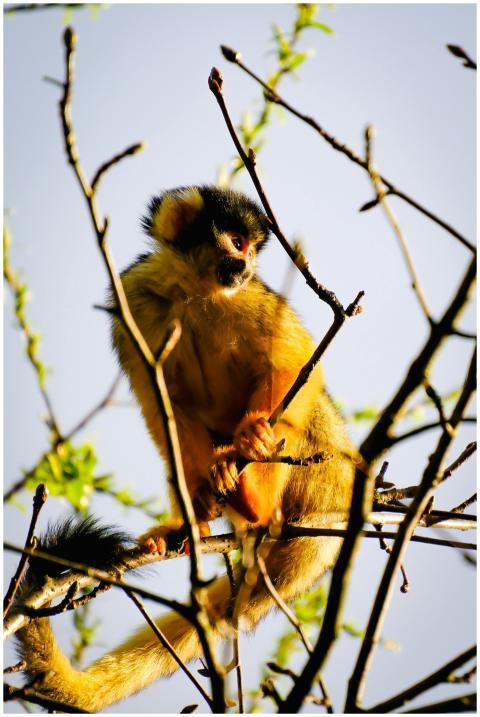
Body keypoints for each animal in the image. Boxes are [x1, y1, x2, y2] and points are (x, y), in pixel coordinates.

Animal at [15, 185, 358, 712]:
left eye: (252, 252)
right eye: (237, 242)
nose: (245, 266)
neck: (194, 289)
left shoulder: (253, 297)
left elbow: (294, 358)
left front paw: (254, 435)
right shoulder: (133, 300)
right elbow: (163, 406)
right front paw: (195, 506)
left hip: (326, 468)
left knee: (306, 409)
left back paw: (256, 497)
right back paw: (195, 519)